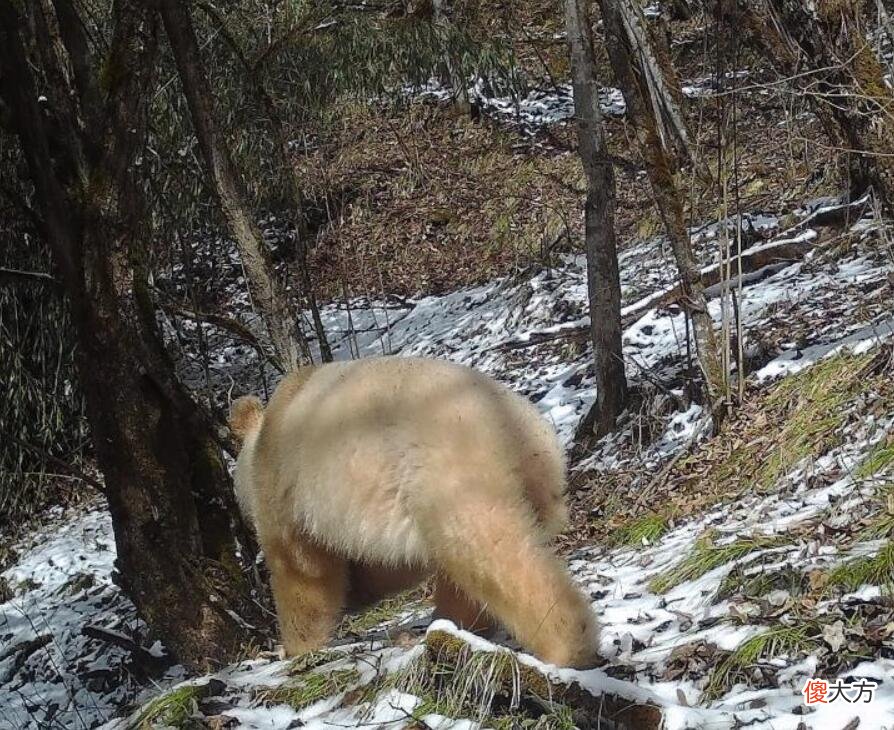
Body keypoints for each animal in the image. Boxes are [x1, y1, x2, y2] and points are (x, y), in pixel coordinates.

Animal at [229, 356, 601, 668]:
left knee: (491, 550)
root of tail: (525, 432)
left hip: (449, 467)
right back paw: (456, 623)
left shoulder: (284, 485)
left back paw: (566, 644)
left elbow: (302, 569)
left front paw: (294, 647)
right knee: (462, 569)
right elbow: (384, 567)